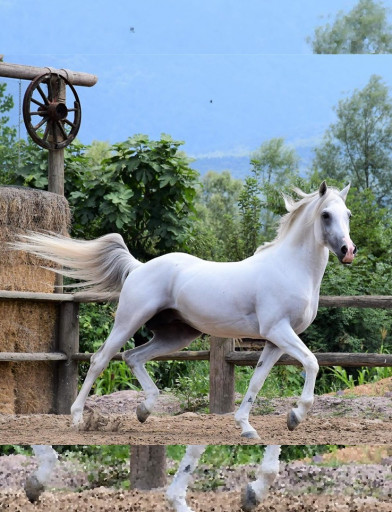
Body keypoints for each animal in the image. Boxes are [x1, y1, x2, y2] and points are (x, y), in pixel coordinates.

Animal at [14, 182, 356, 438]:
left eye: (349, 214)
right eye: (326, 214)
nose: (348, 251)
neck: (290, 268)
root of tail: (139, 267)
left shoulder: (274, 340)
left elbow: (257, 381)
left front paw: (247, 427)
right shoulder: (278, 331)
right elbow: (312, 363)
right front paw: (295, 416)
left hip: (177, 334)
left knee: (132, 357)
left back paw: (144, 410)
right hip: (129, 321)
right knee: (101, 359)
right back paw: (76, 419)